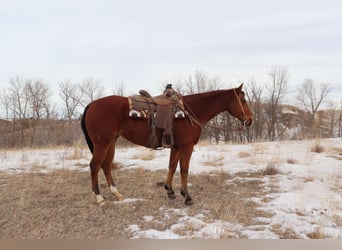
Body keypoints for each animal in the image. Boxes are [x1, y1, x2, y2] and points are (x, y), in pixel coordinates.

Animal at [80, 84, 251, 205]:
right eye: (243, 100)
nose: (250, 120)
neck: (189, 111)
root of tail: (91, 105)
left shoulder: (176, 147)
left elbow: (172, 167)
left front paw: (170, 191)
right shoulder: (187, 147)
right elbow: (184, 170)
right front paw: (187, 196)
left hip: (111, 142)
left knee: (106, 165)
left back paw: (116, 193)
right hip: (102, 143)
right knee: (95, 165)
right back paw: (100, 198)